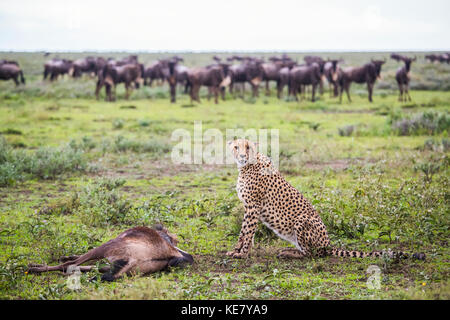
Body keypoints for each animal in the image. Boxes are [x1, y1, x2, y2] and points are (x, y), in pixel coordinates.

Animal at [227, 139, 428, 262]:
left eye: (248, 147)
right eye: (237, 147)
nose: (242, 155)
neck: (247, 166)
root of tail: (328, 243)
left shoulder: (253, 207)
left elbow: (246, 231)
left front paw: (241, 254)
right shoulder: (250, 208)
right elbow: (246, 232)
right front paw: (238, 250)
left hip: (303, 220)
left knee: (313, 254)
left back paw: (288, 253)